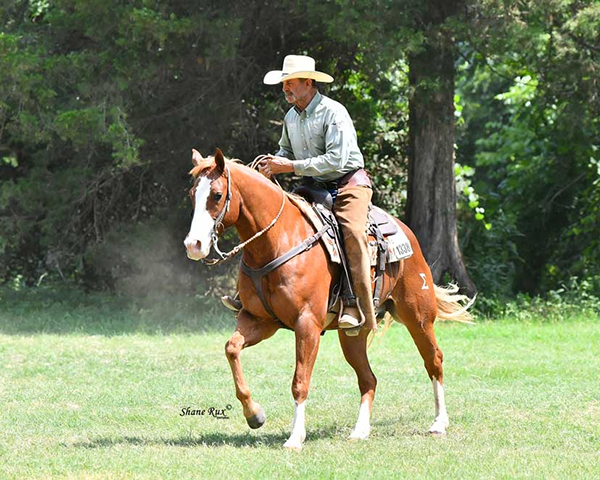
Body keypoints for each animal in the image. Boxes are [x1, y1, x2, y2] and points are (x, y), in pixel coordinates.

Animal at [183, 148, 474, 452]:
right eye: (192, 194)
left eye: (217, 194)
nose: (194, 245)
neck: (277, 240)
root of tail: (408, 235)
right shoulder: (259, 321)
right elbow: (231, 349)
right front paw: (255, 415)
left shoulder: (307, 324)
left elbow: (300, 380)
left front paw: (295, 437)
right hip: (353, 334)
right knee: (368, 378)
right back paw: (360, 430)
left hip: (418, 317)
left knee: (434, 361)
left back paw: (439, 423)